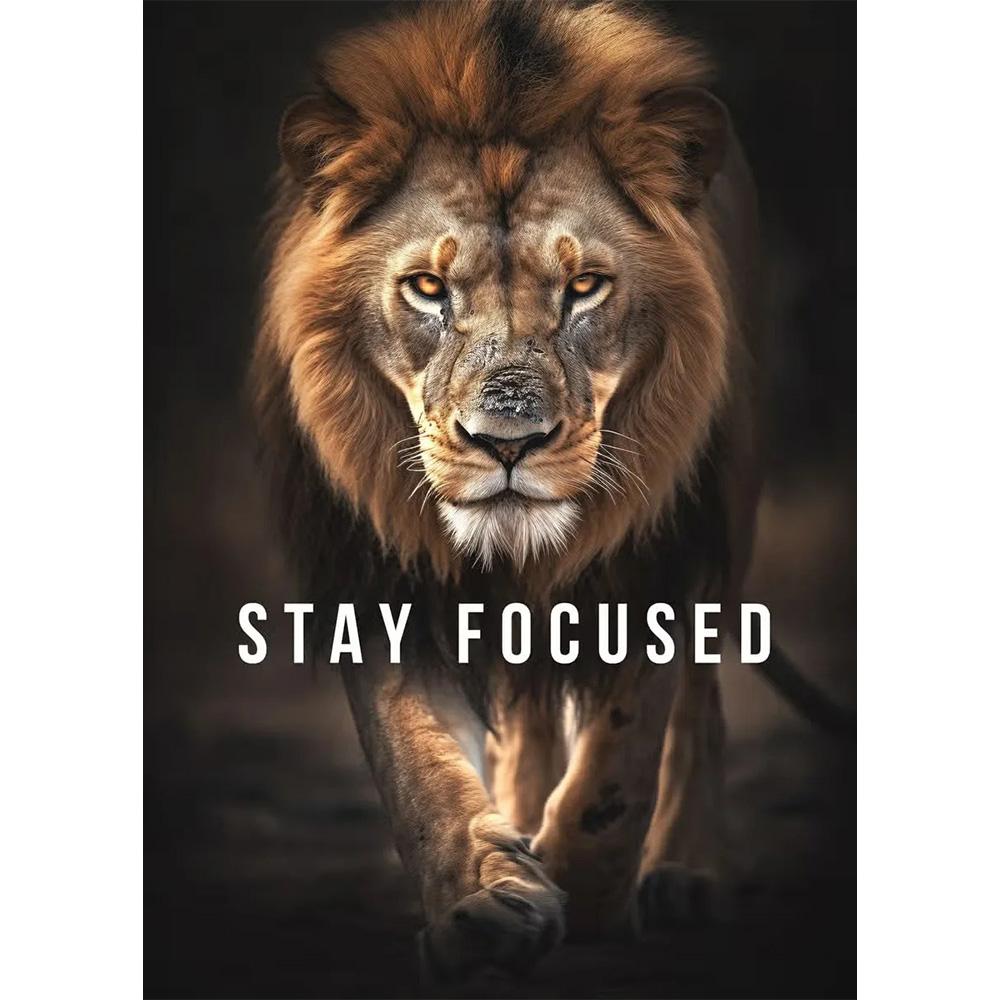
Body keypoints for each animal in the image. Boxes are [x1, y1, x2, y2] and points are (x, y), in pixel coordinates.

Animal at [251, 0, 823, 981]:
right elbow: (414, 762)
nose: (507, 443)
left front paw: (587, 892)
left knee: (698, 710)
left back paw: (684, 874)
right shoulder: (371, 566)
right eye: (428, 288)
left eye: (585, 286)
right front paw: (484, 903)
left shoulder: (664, 550)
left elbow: (627, 750)